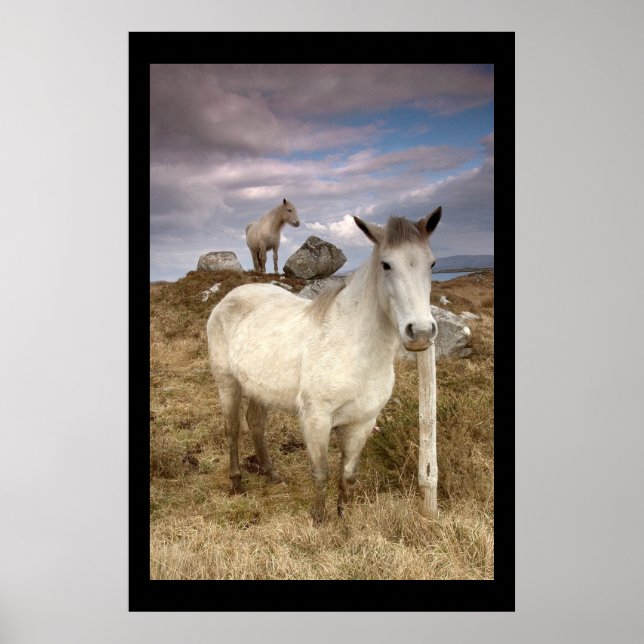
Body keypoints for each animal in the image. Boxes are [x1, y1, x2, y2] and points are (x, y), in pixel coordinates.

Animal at [208, 207, 442, 522]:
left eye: (432, 263)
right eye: (386, 264)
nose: (421, 333)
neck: (355, 348)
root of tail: (228, 299)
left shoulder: (363, 422)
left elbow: (348, 474)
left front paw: (343, 515)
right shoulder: (316, 419)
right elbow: (321, 472)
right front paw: (318, 519)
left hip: (259, 388)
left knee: (255, 423)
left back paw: (271, 475)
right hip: (228, 384)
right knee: (232, 429)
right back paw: (236, 483)